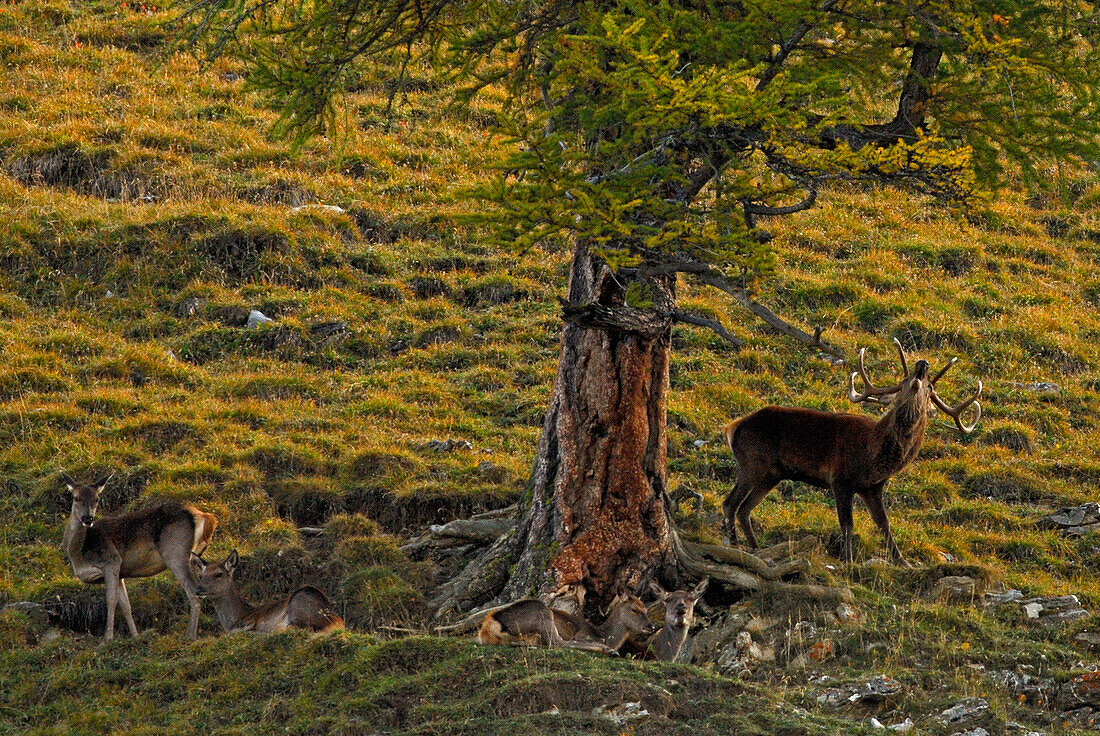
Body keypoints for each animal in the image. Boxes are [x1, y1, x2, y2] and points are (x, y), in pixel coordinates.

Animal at [61, 473, 216, 638]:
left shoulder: (111, 561)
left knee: (194, 592)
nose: (88, 518)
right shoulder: (120, 573)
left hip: (175, 553)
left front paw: (107, 638)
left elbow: (111, 600)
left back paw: (190, 635)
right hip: (193, 556)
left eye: (96, 498)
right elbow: (125, 605)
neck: (78, 555)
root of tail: (204, 517)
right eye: (76, 498)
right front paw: (135, 636)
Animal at [479, 585, 651, 655]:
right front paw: (607, 648)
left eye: (646, 609)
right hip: (542, 612)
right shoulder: (584, 635)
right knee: (557, 643)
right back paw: (608, 650)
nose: (651, 627)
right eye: (634, 609)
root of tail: (487, 628)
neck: (604, 634)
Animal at [721, 338, 981, 563]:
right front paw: (848, 560)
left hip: (770, 474)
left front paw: (902, 561)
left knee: (744, 509)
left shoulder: (873, 488)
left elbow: (884, 524)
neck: (872, 455)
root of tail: (733, 427)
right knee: (730, 503)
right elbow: (847, 524)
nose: (922, 364)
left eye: (930, 388)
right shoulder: (840, 479)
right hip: (752, 463)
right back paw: (735, 545)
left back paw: (756, 548)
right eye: (905, 380)